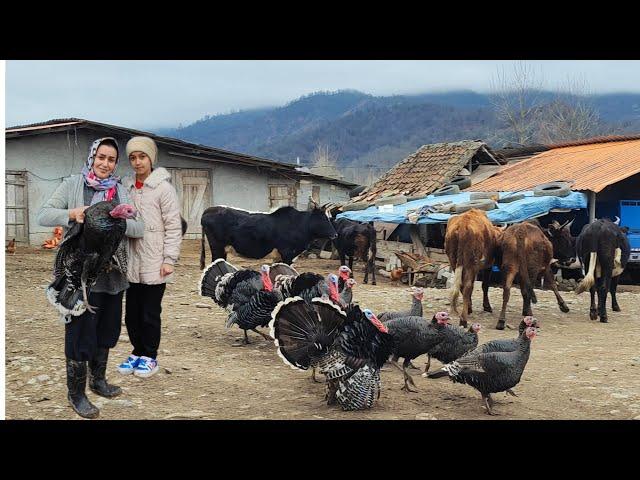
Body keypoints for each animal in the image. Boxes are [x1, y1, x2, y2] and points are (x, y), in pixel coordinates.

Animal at [200, 204, 340, 268]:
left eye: (330, 217)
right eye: (322, 218)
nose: (335, 234)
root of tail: (209, 209)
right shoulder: (287, 253)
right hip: (217, 246)